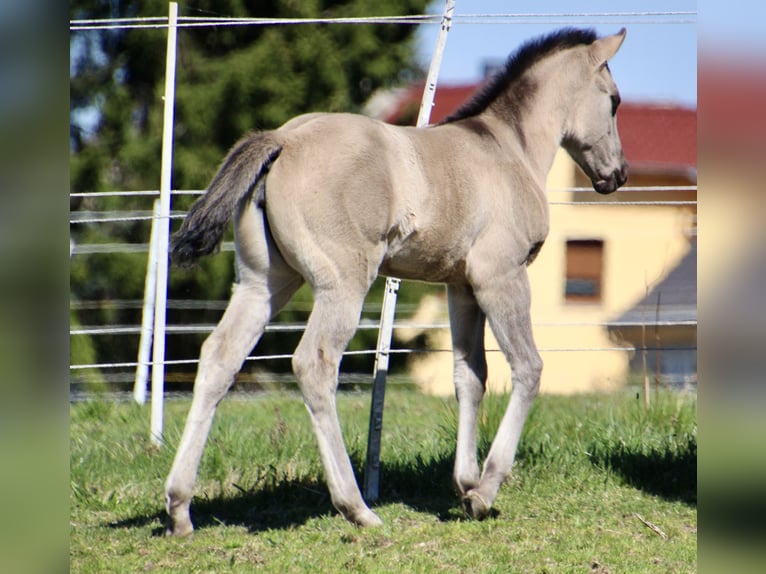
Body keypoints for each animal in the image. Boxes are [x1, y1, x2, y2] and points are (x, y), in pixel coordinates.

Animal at [164, 27, 628, 535]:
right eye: (614, 100)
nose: (618, 174)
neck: (509, 148)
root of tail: (283, 137)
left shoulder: (460, 286)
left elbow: (470, 375)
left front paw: (465, 482)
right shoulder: (501, 276)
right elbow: (528, 368)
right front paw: (484, 491)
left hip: (264, 282)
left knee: (219, 357)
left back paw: (180, 507)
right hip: (343, 282)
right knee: (313, 364)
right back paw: (356, 507)